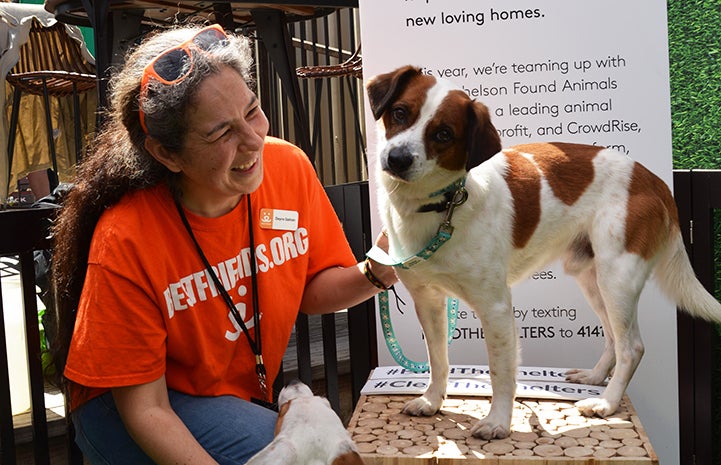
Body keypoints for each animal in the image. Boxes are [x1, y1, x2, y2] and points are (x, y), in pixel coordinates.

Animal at [366, 65, 720, 438]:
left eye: (444, 134)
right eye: (400, 112)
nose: (397, 159)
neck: (441, 206)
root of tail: (655, 180)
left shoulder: (495, 306)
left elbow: (500, 370)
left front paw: (497, 421)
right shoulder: (428, 300)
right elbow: (437, 358)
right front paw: (433, 400)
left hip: (618, 278)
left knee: (632, 347)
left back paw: (606, 403)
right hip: (591, 277)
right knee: (612, 336)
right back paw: (595, 377)